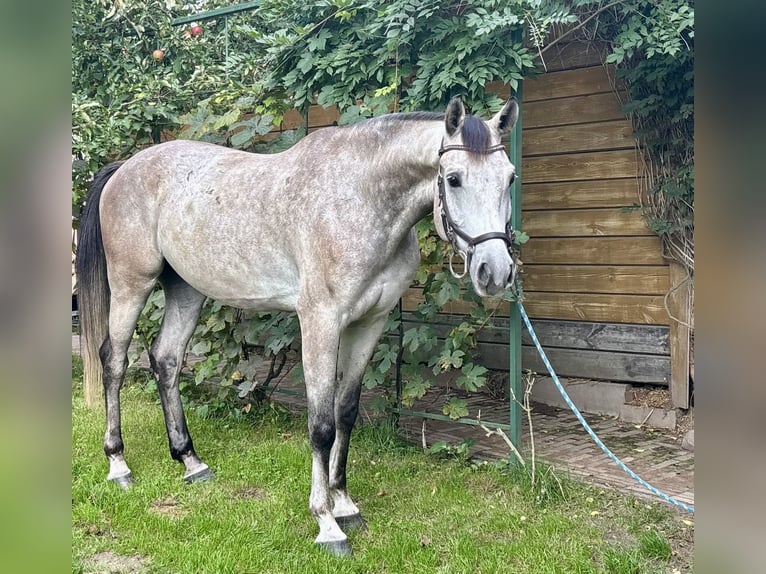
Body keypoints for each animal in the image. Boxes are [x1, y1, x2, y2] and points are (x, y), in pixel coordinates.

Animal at [76, 96, 519, 556]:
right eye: (454, 179)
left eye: (509, 178)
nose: (496, 272)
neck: (359, 198)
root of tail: (124, 167)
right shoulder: (320, 322)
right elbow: (321, 426)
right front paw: (327, 523)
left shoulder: (369, 323)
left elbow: (346, 412)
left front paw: (345, 504)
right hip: (132, 285)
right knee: (114, 361)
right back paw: (118, 464)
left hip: (186, 291)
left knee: (166, 361)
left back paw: (190, 461)